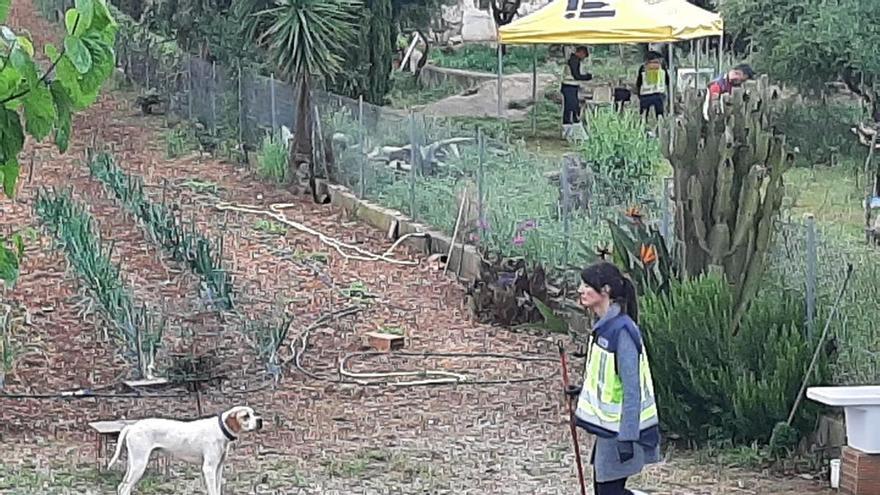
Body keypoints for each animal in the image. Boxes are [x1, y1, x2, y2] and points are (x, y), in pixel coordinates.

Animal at [108, 406, 262, 495]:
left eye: (254, 413)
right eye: (246, 416)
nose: (260, 420)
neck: (220, 429)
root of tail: (132, 427)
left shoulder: (218, 468)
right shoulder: (209, 469)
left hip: (133, 463)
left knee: (122, 487)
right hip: (139, 465)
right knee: (125, 488)